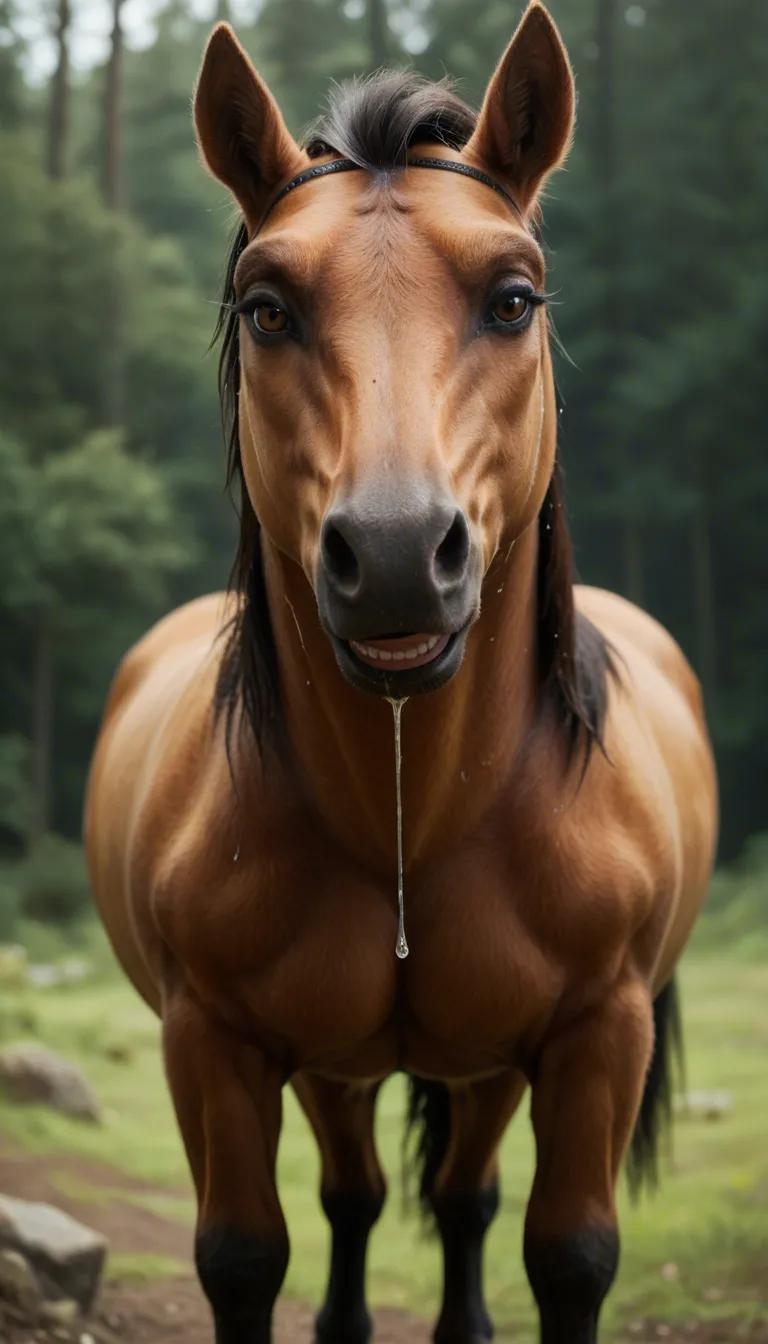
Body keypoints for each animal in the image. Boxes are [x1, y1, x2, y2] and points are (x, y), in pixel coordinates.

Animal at [84, 5, 718, 1341]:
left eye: (514, 298)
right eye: (267, 308)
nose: (389, 557)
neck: (411, 823)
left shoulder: (597, 1038)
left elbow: (569, 1255)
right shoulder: (210, 1047)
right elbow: (244, 1256)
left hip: (484, 1072)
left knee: (460, 1194)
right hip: (338, 1069)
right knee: (361, 1193)